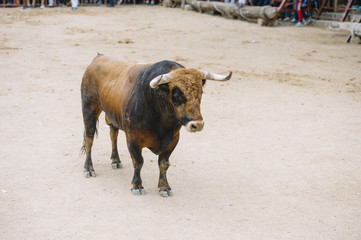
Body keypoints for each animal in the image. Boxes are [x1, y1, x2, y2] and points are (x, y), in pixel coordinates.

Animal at [80, 54, 231, 197]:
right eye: (177, 95)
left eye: (201, 92)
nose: (197, 125)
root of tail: (98, 58)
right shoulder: (133, 140)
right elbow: (138, 162)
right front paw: (137, 186)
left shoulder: (173, 140)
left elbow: (164, 163)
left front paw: (164, 187)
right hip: (89, 108)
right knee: (89, 138)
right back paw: (89, 168)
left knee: (113, 133)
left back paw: (115, 160)